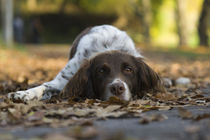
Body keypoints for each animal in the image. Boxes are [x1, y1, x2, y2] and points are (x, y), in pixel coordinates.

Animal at [8, 24, 163, 102]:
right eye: (101, 71)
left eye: (129, 69)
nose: (117, 88)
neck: (109, 46)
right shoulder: (64, 79)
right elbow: (43, 87)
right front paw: (23, 94)